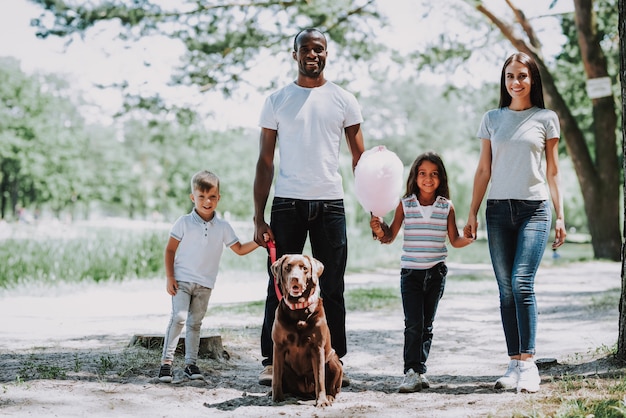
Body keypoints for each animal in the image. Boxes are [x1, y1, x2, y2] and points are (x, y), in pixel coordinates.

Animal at [268, 253, 342, 406]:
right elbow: (276, 376)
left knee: (333, 387)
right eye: (287, 267)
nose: (294, 278)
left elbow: (320, 378)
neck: (299, 309)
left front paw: (321, 401)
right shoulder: (278, 347)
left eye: (304, 268)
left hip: (333, 360)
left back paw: (329, 396)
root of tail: (305, 392)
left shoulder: (317, 348)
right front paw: (277, 398)